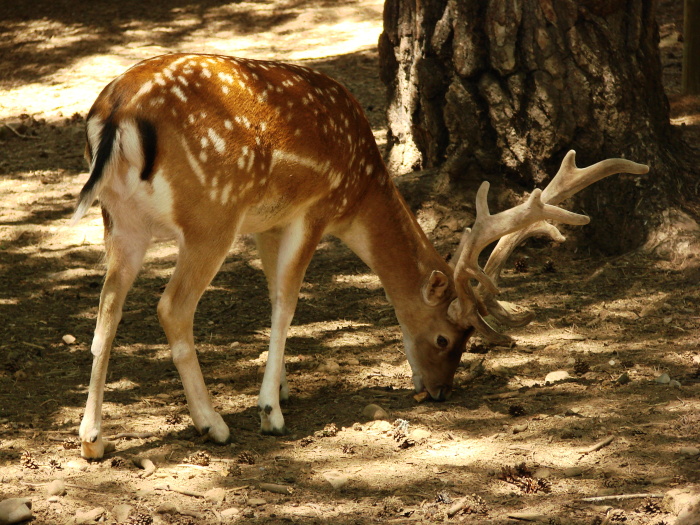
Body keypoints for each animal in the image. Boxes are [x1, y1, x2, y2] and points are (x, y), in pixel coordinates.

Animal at [71, 51, 652, 456]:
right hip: (210, 215)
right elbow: (286, 303)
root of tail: (117, 113)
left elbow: (270, 294)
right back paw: (213, 424)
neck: (363, 188)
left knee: (107, 309)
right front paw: (271, 411)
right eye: (447, 337)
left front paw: (282, 387)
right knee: (171, 307)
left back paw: (93, 439)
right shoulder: (316, 208)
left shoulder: (267, 222)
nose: (440, 392)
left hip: (121, 221)